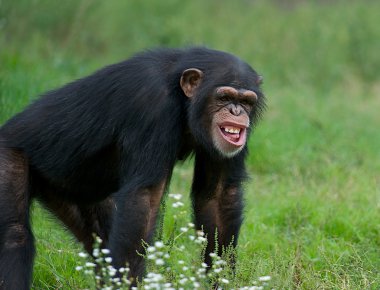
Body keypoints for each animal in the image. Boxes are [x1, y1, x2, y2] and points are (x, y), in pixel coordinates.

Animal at [0, 46, 264, 288]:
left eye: (246, 101)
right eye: (224, 97)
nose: (236, 111)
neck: (182, 99)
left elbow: (218, 195)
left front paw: (220, 279)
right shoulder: (152, 105)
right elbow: (144, 199)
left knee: (101, 240)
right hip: (8, 156)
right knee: (14, 235)